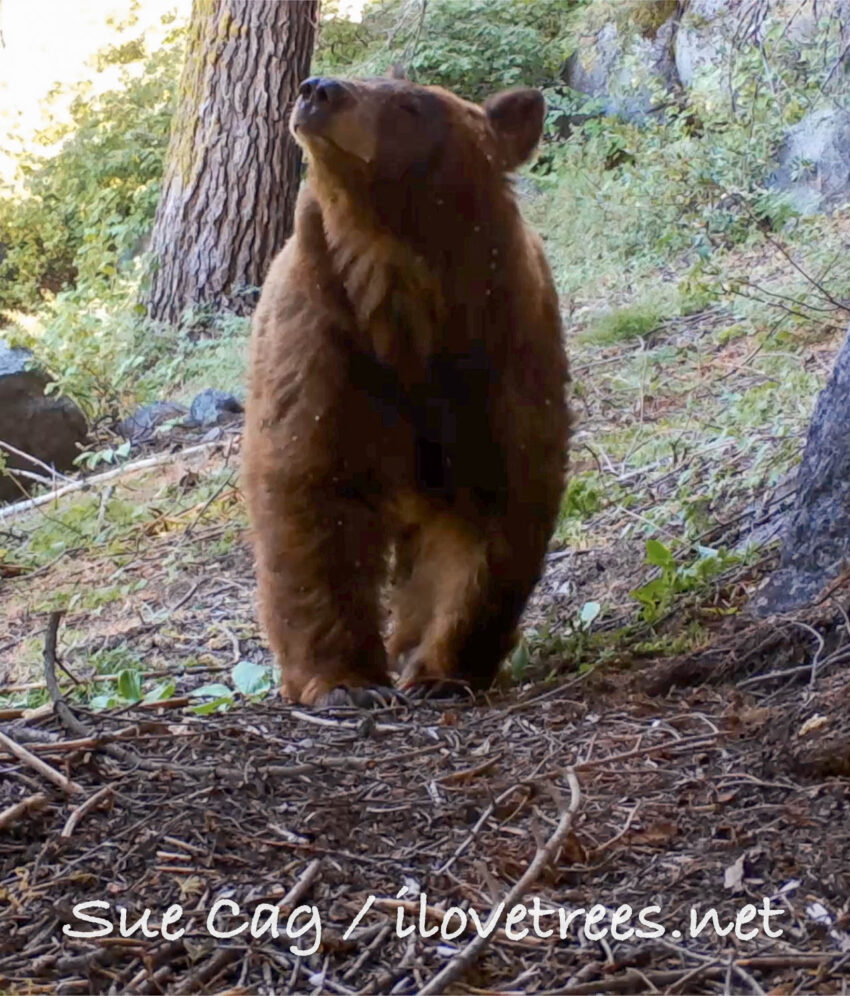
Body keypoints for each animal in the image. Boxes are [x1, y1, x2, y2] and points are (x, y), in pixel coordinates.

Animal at [242, 74, 568, 704]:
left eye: (411, 102)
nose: (316, 90)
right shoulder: (322, 342)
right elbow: (310, 493)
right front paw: (345, 680)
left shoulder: (498, 353)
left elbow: (493, 507)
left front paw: (442, 668)